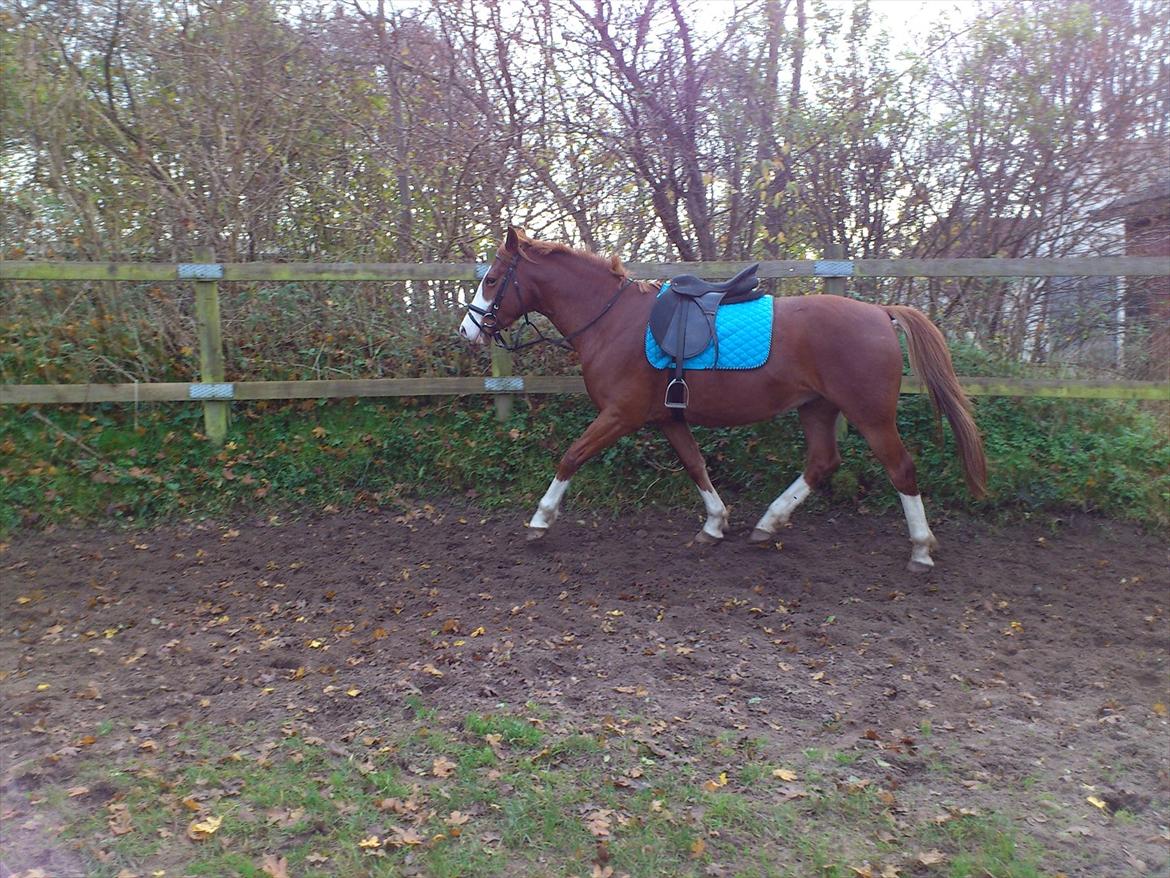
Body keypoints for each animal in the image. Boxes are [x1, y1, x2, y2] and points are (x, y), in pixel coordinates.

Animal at [458, 227, 987, 573]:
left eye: (492, 279)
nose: (467, 330)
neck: (611, 320)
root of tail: (880, 312)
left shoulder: (621, 415)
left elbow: (571, 456)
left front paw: (540, 521)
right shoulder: (666, 418)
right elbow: (696, 466)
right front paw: (714, 525)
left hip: (871, 416)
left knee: (901, 470)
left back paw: (920, 549)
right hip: (817, 407)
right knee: (822, 462)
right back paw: (768, 524)